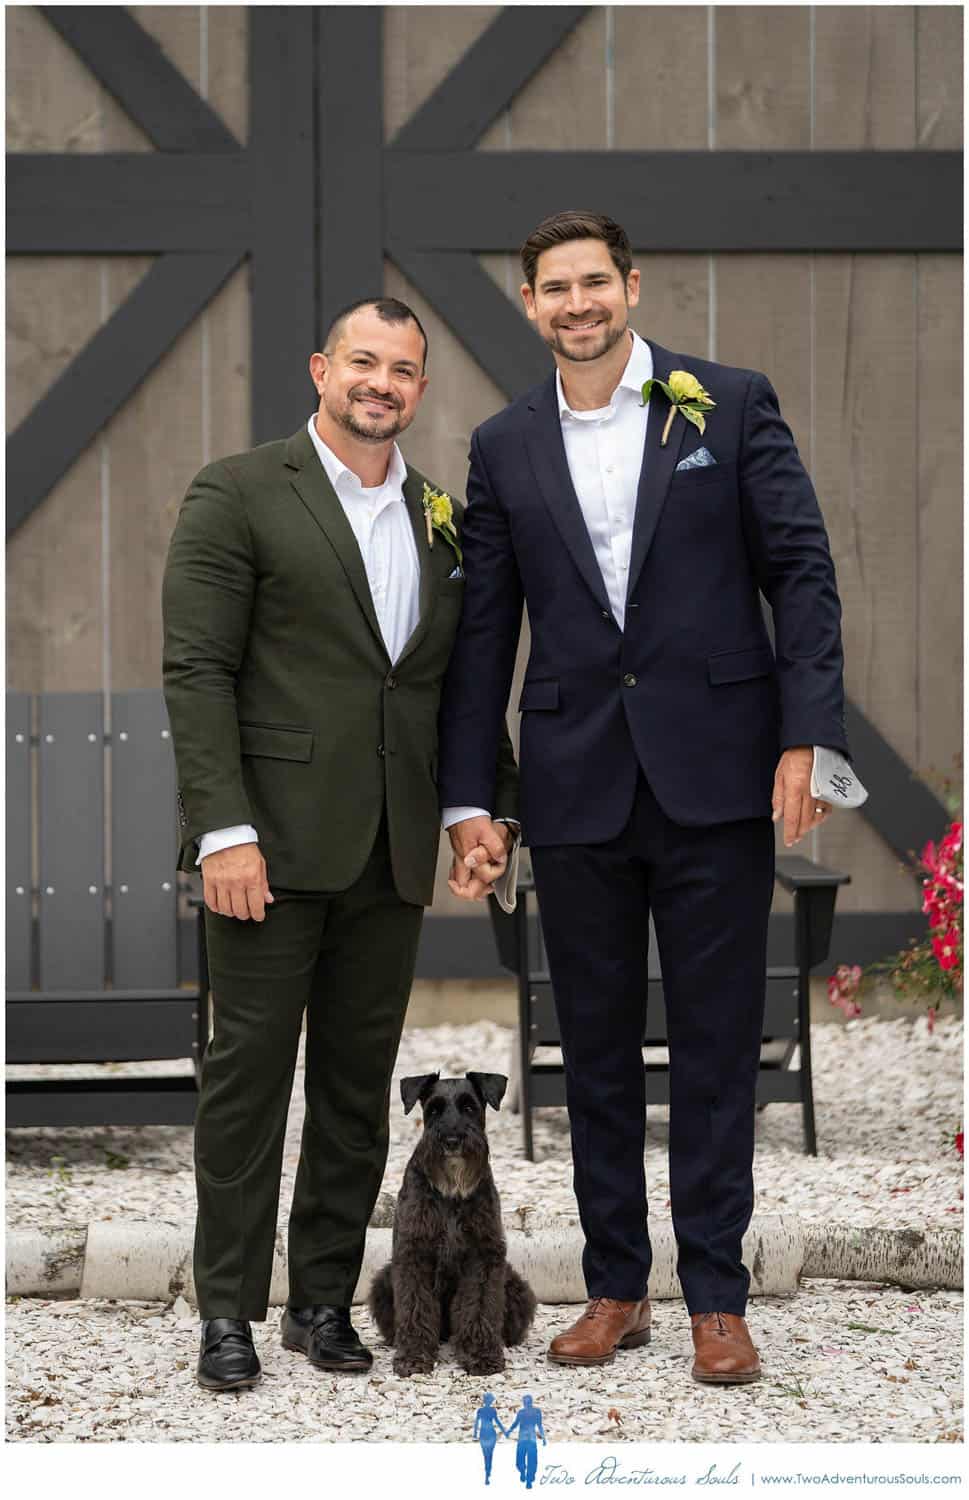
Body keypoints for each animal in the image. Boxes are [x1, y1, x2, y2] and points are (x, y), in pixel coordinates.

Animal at [372, 1074, 540, 1374]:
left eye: (470, 1108)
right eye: (433, 1110)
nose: (452, 1140)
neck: (451, 1192)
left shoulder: (482, 1257)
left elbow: (479, 1305)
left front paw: (482, 1355)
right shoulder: (414, 1254)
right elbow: (415, 1306)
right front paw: (414, 1357)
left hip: (515, 1284)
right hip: (383, 1281)